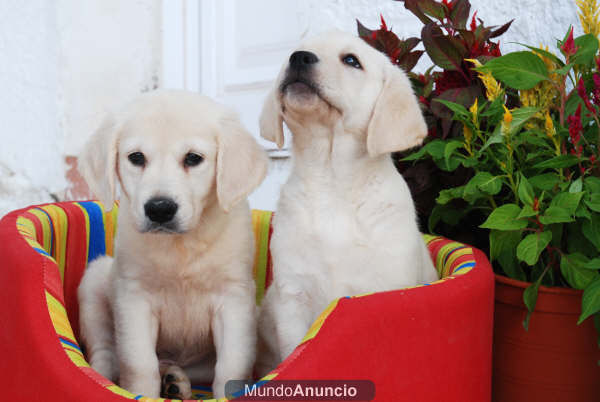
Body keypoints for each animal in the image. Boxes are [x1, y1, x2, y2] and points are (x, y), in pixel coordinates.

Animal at [77, 88, 268, 398]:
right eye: (136, 157)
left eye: (193, 158)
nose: (160, 209)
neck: (180, 246)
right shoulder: (134, 298)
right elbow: (139, 364)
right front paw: (142, 394)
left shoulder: (234, 298)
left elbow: (231, 367)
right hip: (94, 282)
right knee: (107, 352)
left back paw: (174, 381)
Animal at [255, 31, 438, 374]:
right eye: (294, 52)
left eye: (351, 60)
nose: (299, 57)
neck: (331, 180)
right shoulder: (292, 296)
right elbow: (293, 352)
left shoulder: (385, 289)